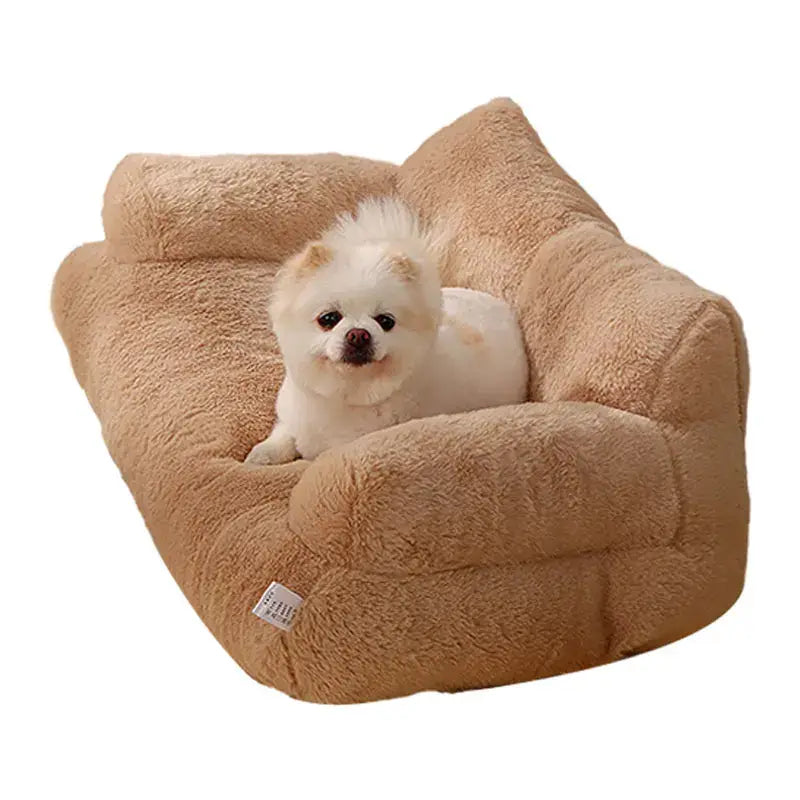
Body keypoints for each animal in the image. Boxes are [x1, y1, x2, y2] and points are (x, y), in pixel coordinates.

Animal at [247, 197, 528, 466]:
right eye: (328, 319)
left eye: (385, 321)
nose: (358, 334)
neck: (347, 397)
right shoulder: (292, 416)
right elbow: (284, 434)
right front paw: (263, 455)